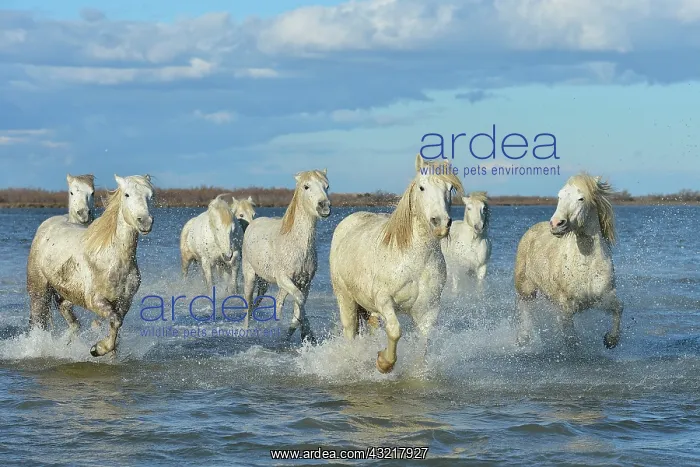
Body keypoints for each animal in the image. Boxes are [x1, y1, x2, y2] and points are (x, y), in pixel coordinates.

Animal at [26, 174, 154, 357]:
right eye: (127, 194)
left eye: (149, 196)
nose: (145, 222)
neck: (112, 258)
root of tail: (47, 224)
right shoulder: (95, 301)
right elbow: (115, 321)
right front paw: (97, 349)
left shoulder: (124, 302)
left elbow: (116, 325)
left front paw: (104, 350)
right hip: (39, 288)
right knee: (38, 319)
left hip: (68, 293)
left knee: (67, 313)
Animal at [241, 169, 330, 343]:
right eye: (306, 186)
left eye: (327, 186)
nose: (324, 206)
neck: (295, 243)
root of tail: (252, 223)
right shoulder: (284, 279)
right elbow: (299, 300)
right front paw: (297, 329)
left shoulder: (305, 282)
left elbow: (300, 303)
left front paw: (302, 332)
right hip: (250, 276)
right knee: (248, 303)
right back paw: (246, 329)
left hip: (264, 282)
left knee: (274, 301)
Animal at [329, 154, 463, 373]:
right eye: (422, 187)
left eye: (449, 188)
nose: (440, 223)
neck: (413, 260)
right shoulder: (384, 301)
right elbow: (394, 331)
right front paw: (384, 363)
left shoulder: (429, 310)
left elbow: (423, 343)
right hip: (346, 300)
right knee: (350, 332)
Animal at [514, 173, 623, 349]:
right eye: (559, 196)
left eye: (581, 198)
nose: (556, 224)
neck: (586, 266)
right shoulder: (566, 307)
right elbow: (570, 338)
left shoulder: (604, 297)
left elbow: (619, 308)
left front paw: (610, 340)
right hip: (526, 288)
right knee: (524, 307)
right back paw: (524, 337)